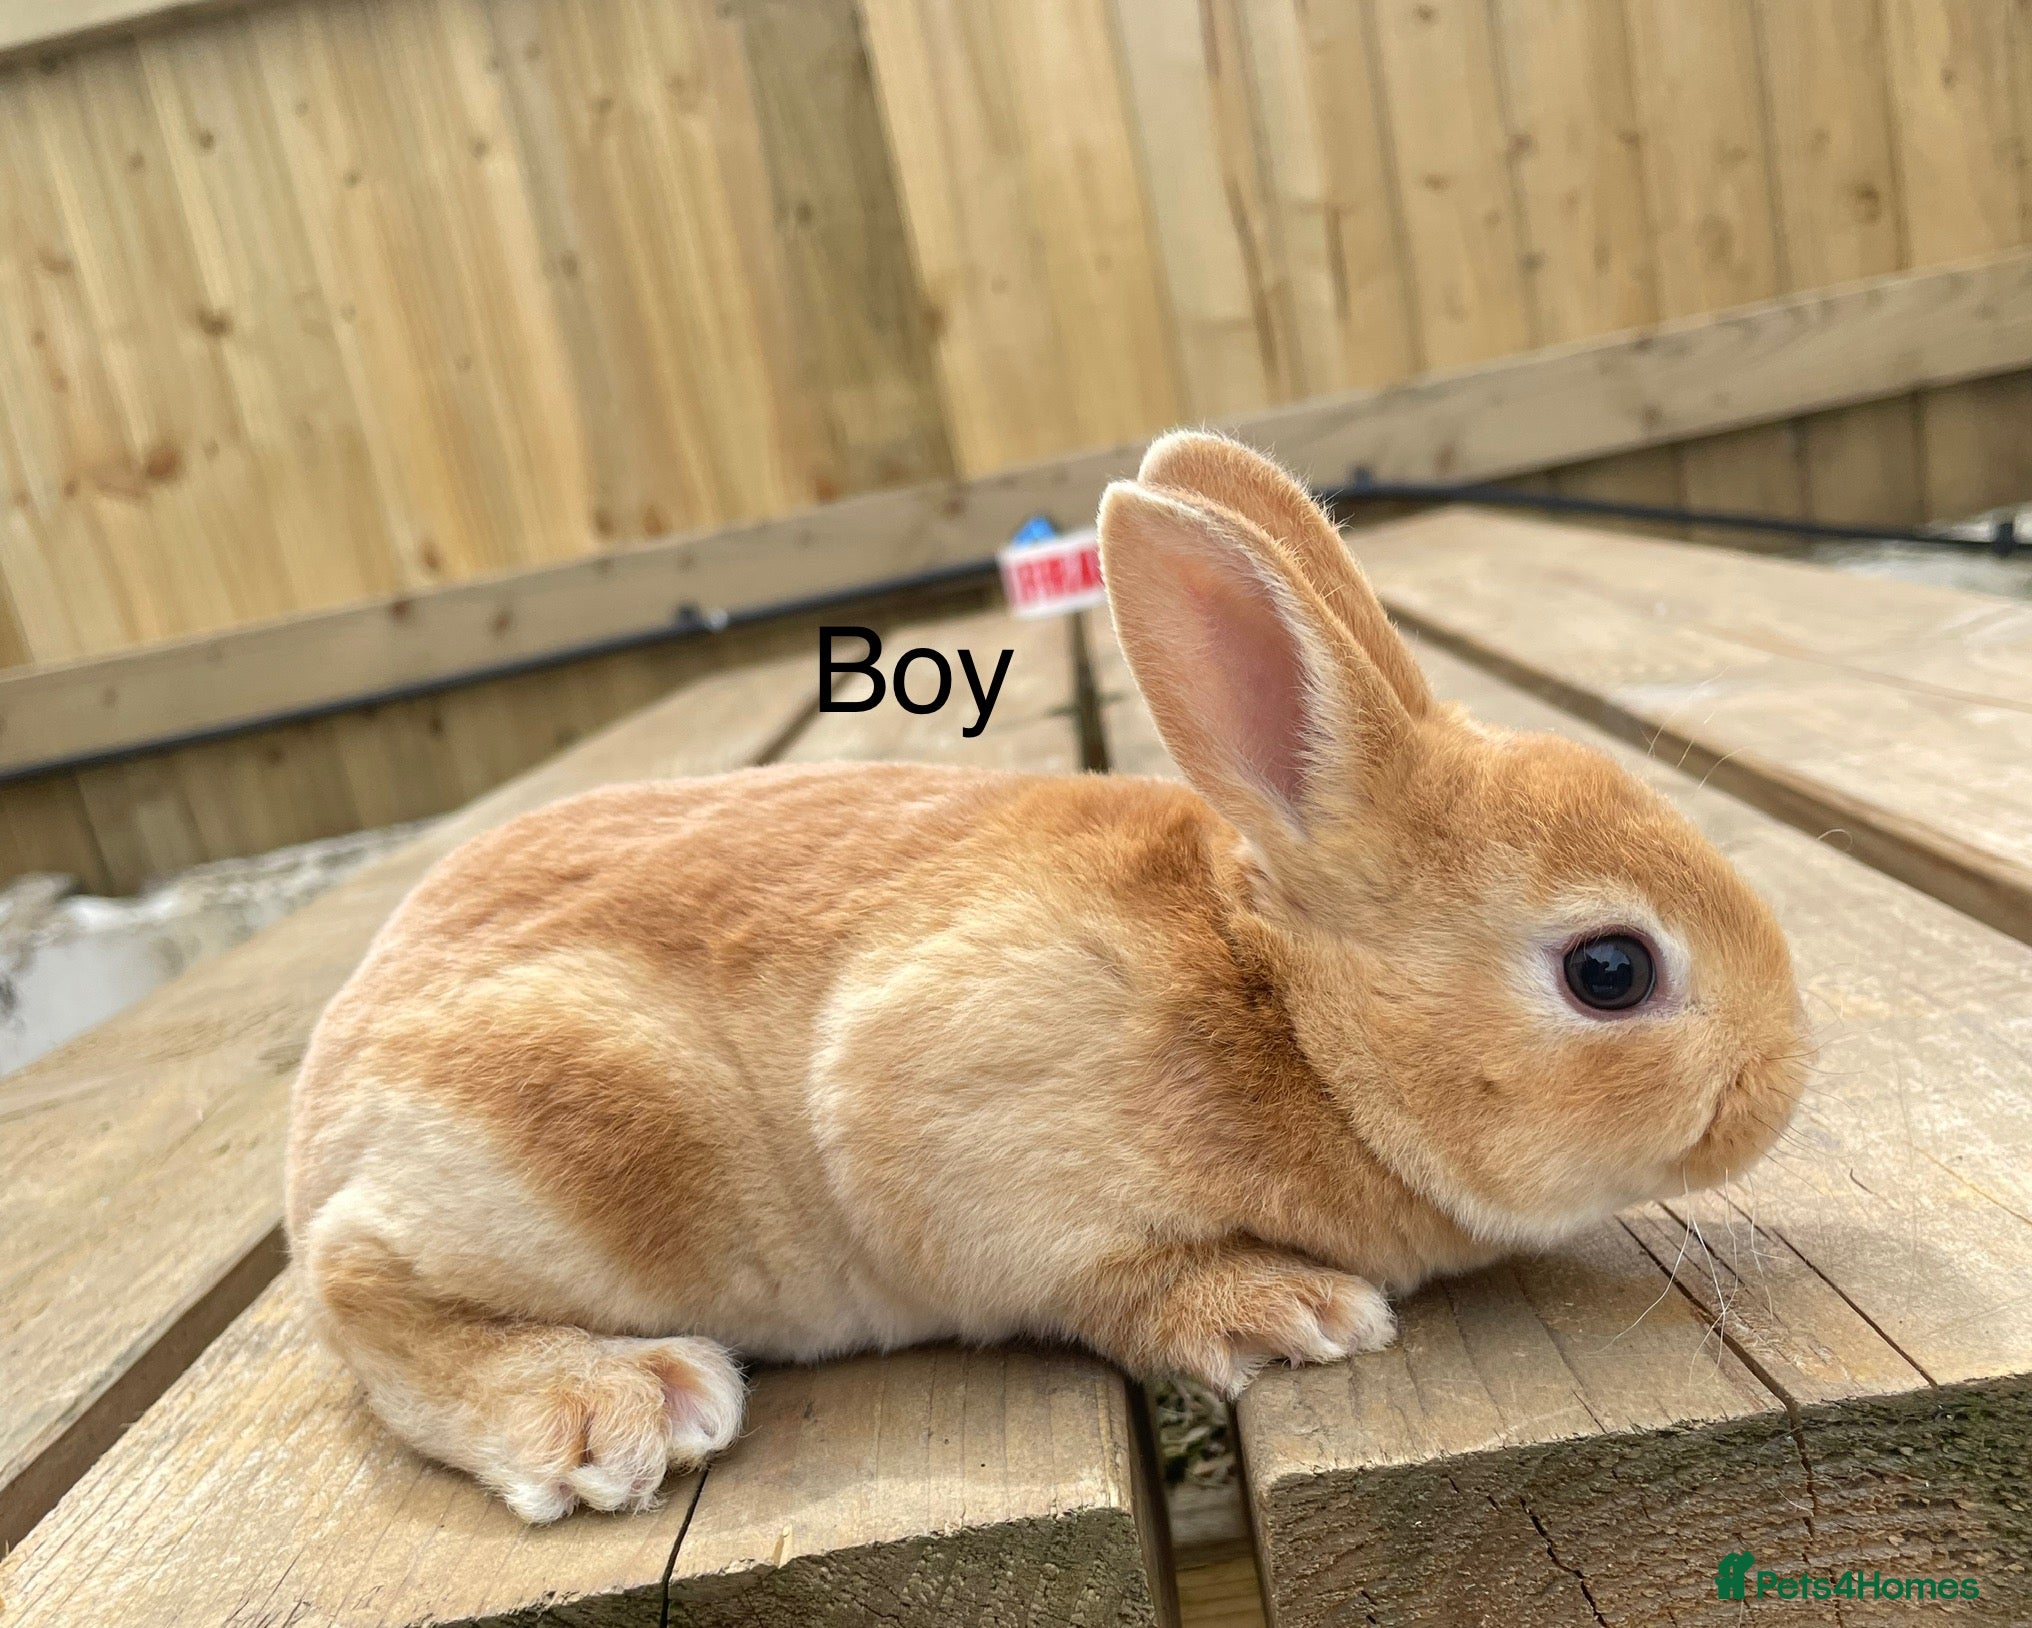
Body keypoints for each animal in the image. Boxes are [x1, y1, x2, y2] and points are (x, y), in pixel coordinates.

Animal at [286, 431, 1810, 1524]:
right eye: (1610, 969)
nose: (1785, 1081)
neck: (1291, 1016)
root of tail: (319, 1121)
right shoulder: (951, 1122)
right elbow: (1107, 1282)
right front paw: (1286, 1313)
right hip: (573, 1131)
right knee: (363, 1292)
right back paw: (614, 1404)